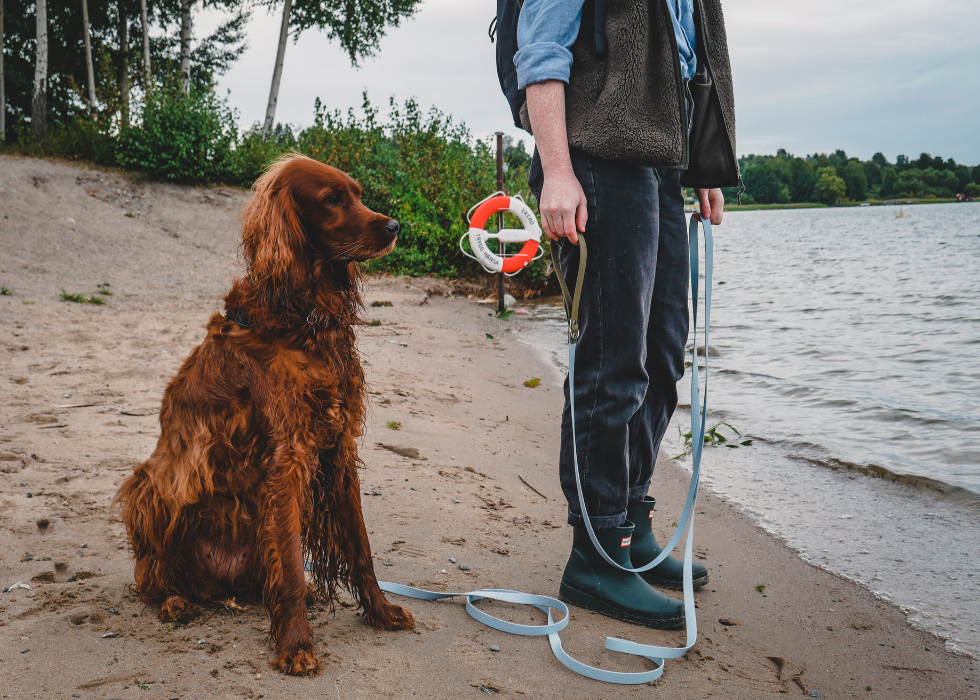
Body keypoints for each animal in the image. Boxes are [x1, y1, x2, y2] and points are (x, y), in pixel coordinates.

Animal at [115, 153, 414, 672]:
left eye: (357, 193)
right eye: (332, 199)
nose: (394, 226)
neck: (303, 319)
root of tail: (217, 586)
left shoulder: (338, 447)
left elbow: (360, 547)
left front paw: (380, 610)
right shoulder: (286, 459)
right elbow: (292, 567)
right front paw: (295, 644)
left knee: (265, 579)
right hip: (149, 485)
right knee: (150, 575)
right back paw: (173, 600)